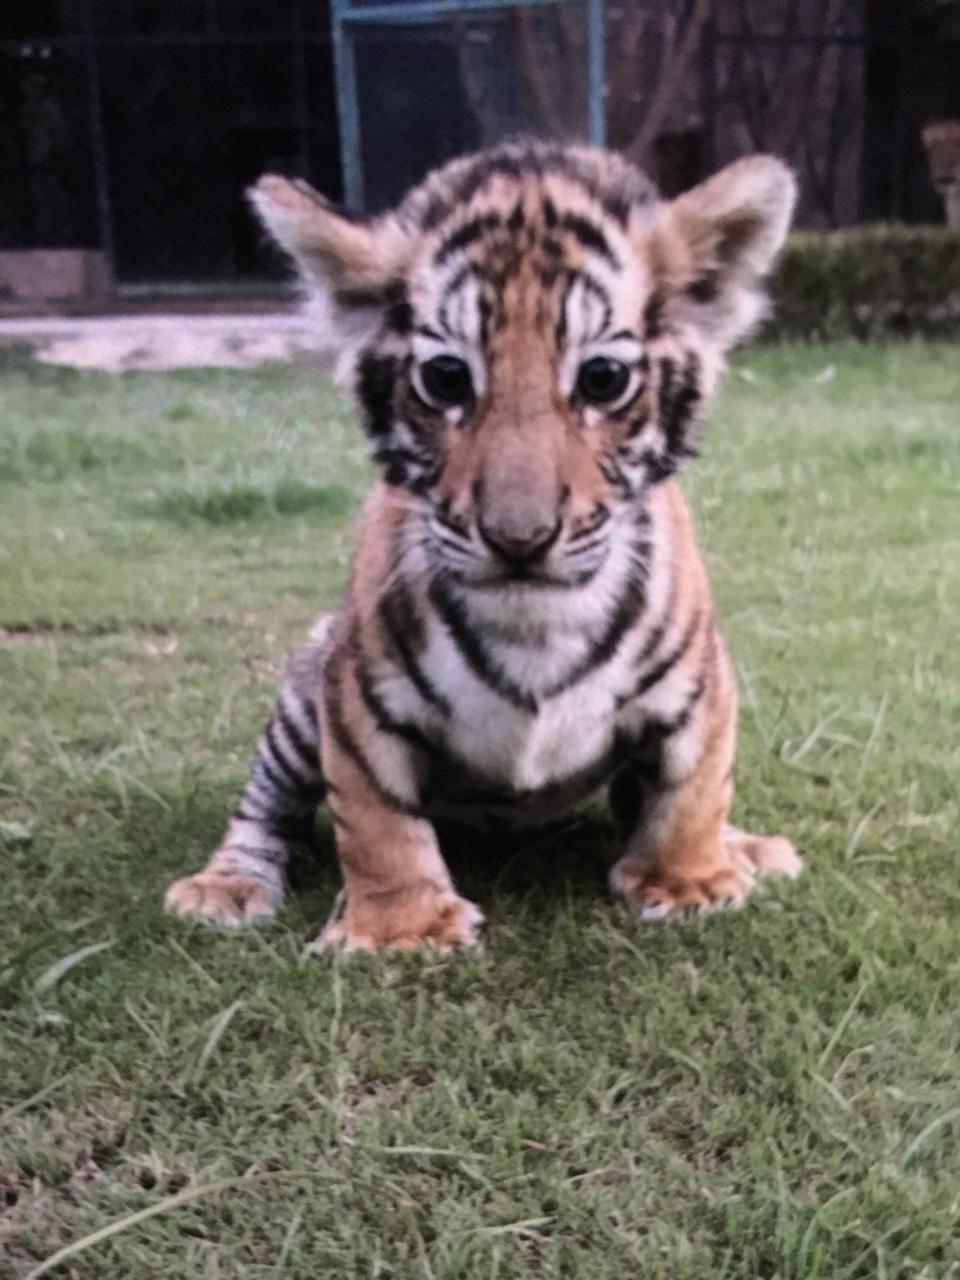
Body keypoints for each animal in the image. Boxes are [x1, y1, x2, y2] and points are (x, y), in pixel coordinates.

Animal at [165, 139, 804, 952]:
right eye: (445, 378)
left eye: (603, 378)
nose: (518, 538)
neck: (537, 623)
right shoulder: (355, 697)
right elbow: (374, 818)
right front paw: (399, 929)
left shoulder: (700, 683)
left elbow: (694, 785)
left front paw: (689, 879)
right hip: (299, 701)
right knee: (263, 807)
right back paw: (226, 884)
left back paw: (747, 848)